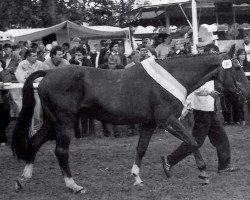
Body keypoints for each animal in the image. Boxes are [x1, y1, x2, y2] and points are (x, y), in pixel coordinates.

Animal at [12, 45, 250, 194]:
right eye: (238, 67)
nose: (247, 92)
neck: (173, 76)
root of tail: (48, 74)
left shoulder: (149, 123)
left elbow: (141, 148)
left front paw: (137, 178)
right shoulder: (166, 120)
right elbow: (192, 141)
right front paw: (203, 173)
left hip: (52, 123)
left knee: (34, 142)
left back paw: (23, 180)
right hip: (64, 122)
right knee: (60, 151)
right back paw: (74, 186)